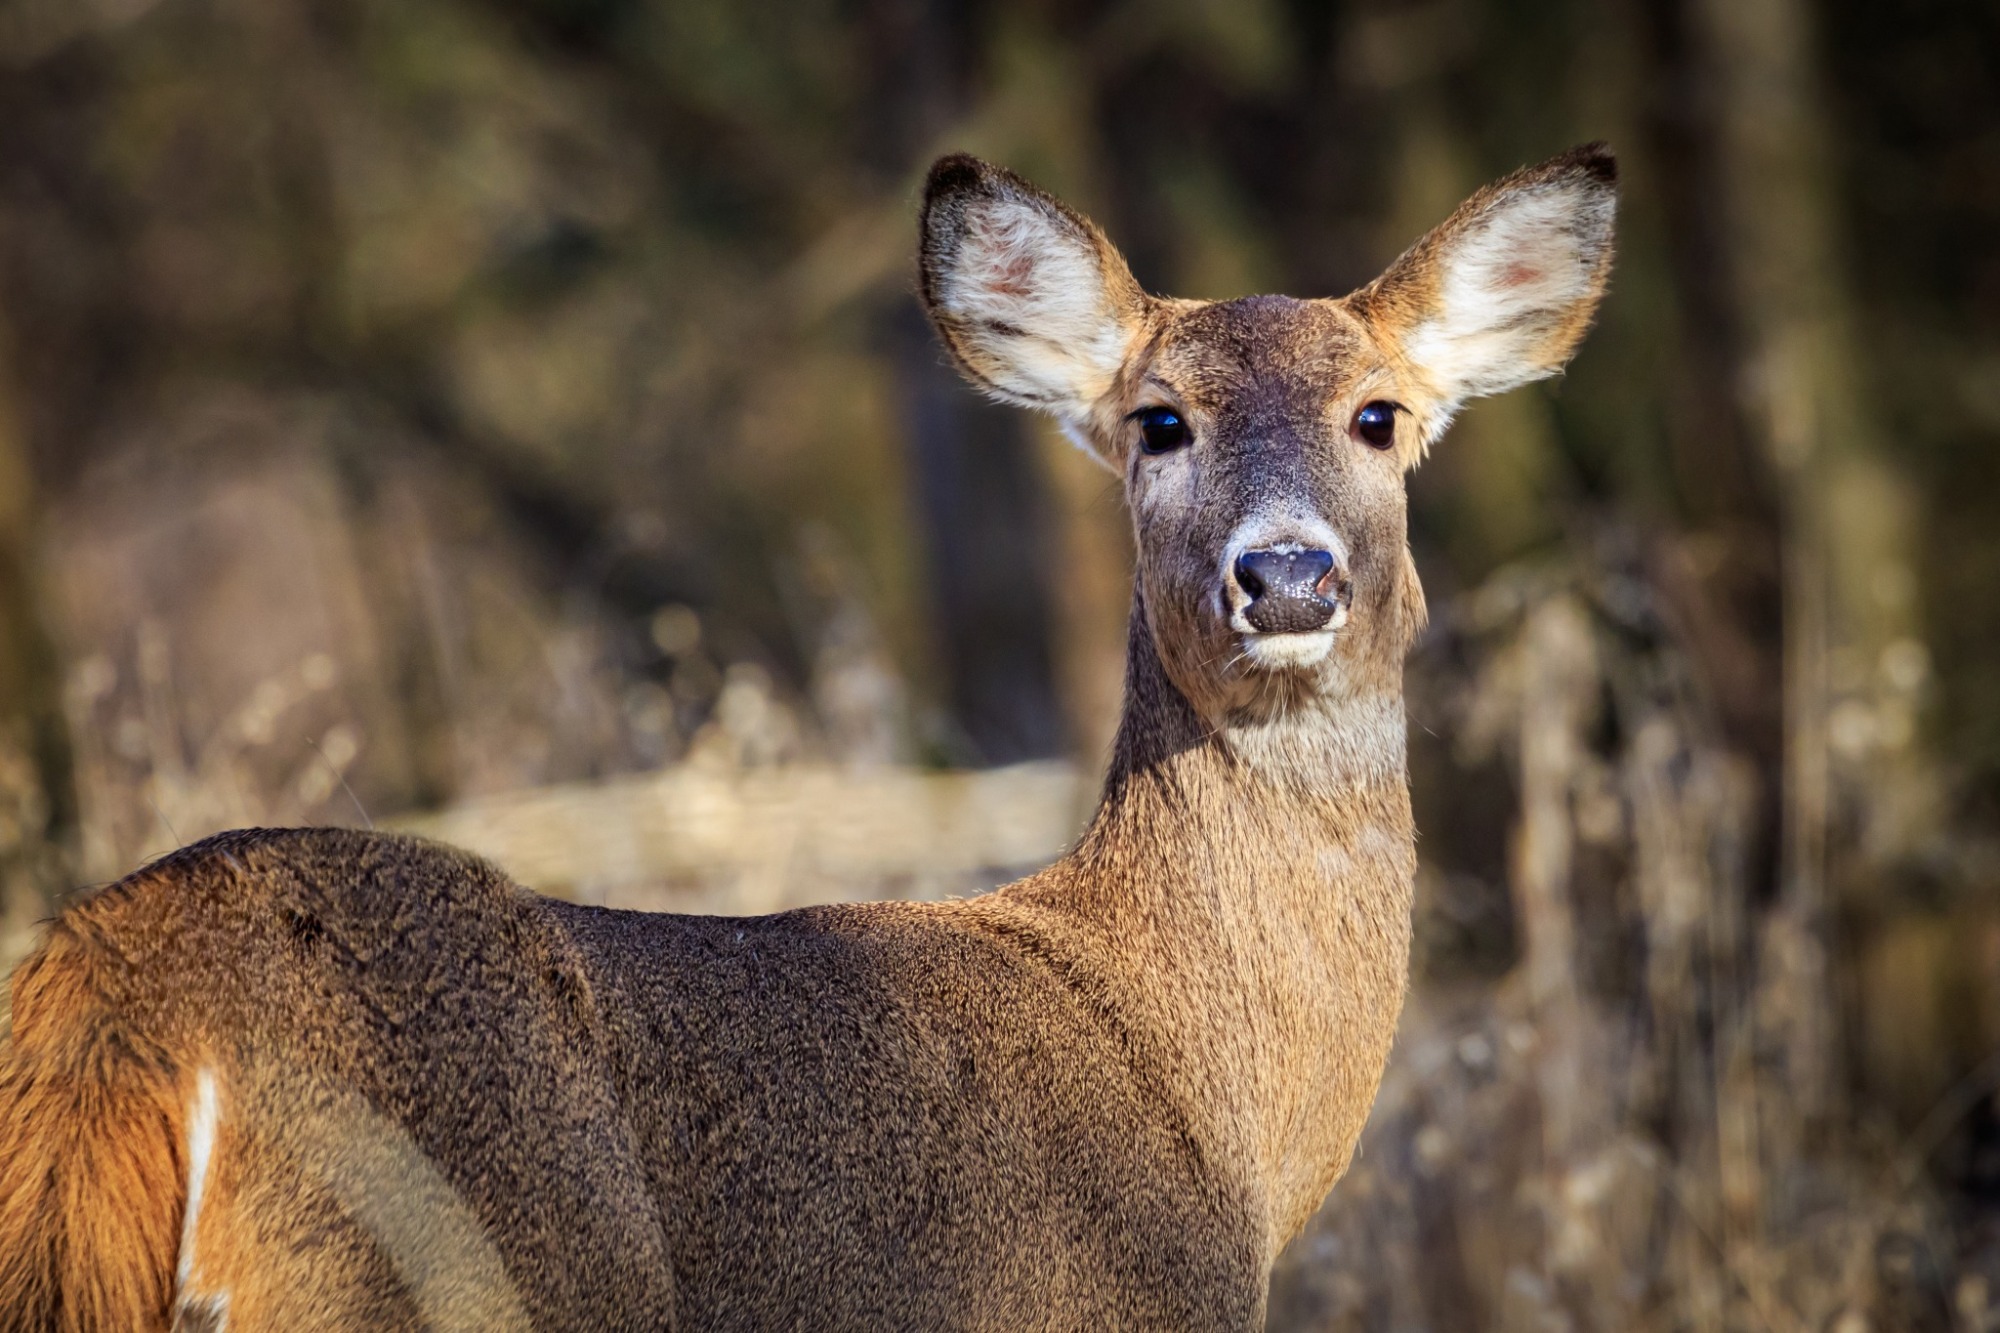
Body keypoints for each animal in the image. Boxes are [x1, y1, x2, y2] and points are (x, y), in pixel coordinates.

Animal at [0, 145, 1608, 1328]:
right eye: (1159, 420)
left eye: (1379, 414)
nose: (1284, 573)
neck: (1207, 1093)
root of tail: (127, 994)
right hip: (412, 1271)